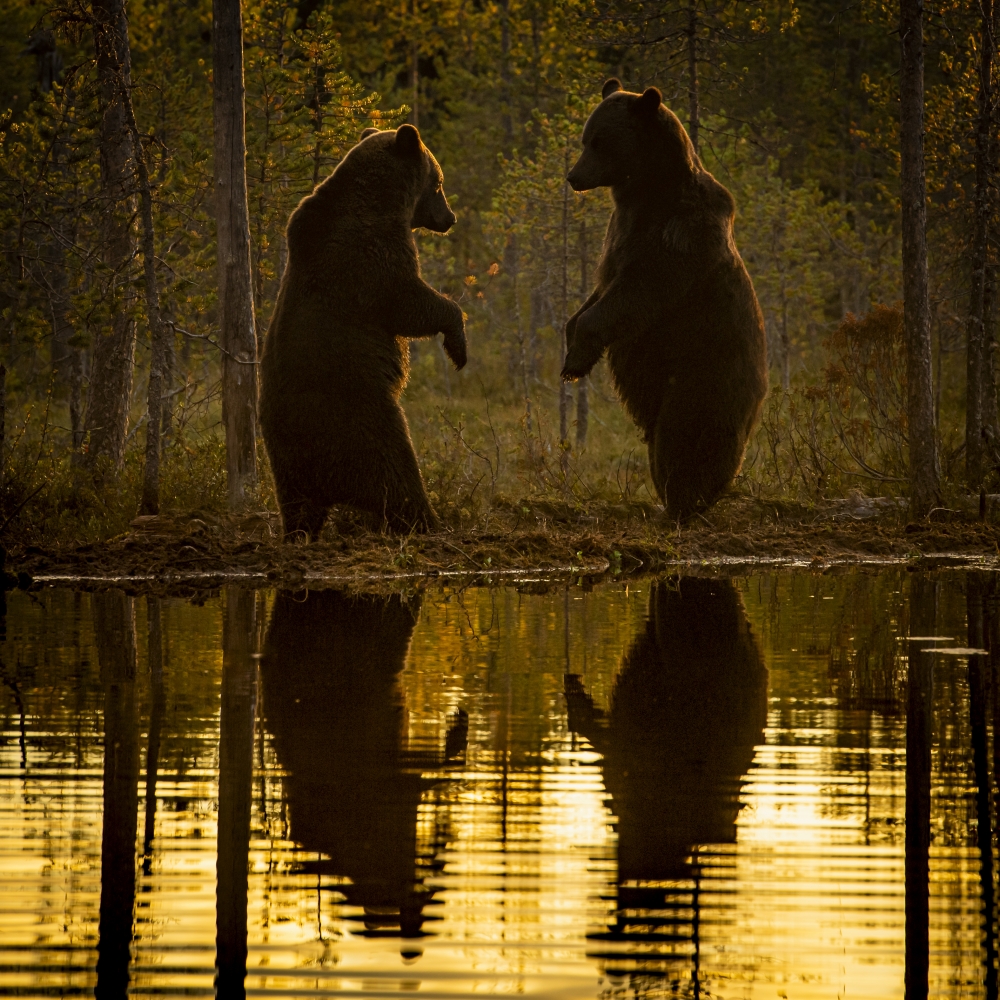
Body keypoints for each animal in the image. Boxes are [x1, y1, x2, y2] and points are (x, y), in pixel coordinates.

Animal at [259, 124, 466, 539]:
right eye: (438, 182)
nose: (450, 218)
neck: (383, 201)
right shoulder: (369, 256)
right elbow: (407, 302)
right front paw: (458, 345)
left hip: (286, 461)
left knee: (297, 504)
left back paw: (299, 532)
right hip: (365, 421)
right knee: (396, 476)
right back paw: (429, 522)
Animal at [561, 79, 768, 522]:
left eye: (600, 142)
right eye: (587, 138)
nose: (573, 176)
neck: (646, 190)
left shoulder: (678, 238)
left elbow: (635, 293)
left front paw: (575, 361)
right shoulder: (619, 234)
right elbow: (599, 292)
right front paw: (571, 350)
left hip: (702, 377)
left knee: (684, 439)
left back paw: (686, 502)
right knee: (661, 443)